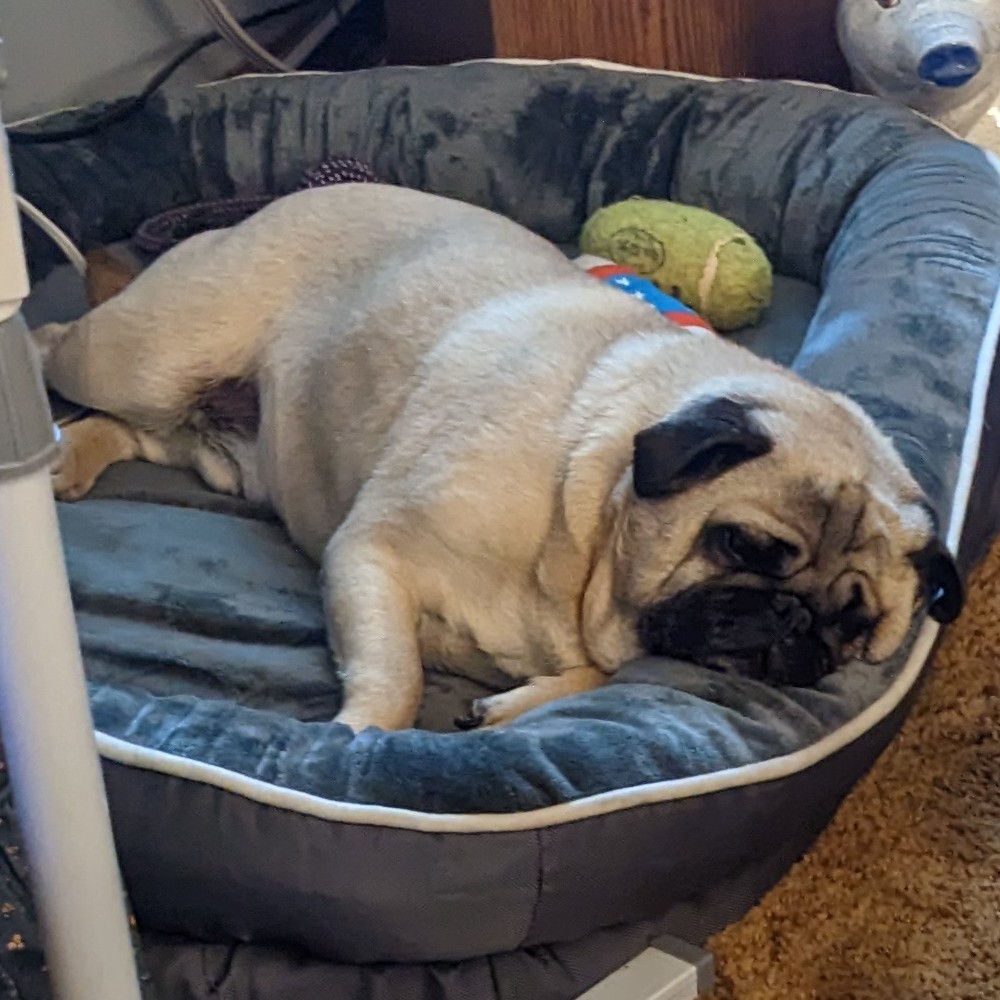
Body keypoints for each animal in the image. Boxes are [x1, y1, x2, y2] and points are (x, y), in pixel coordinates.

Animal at [33, 184, 960, 732]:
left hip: (234, 454)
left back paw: (70, 460)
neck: (583, 523)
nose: (795, 619)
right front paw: (359, 742)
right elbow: (396, 675)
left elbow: (597, 683)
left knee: (140, 433)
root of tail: (274, 204)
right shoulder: (368, 555)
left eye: (854, 626)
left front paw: (510, 705)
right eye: (740, 545)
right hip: (142, 355)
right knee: (60, 348)